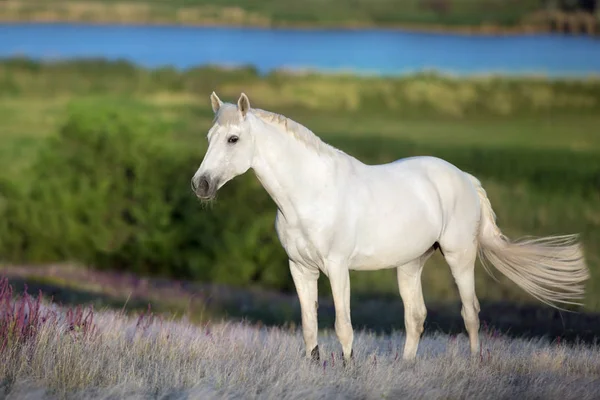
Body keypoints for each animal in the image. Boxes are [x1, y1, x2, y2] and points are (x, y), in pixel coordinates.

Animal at [192, 92, 592, 360]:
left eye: (233, 139)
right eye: (209, 138)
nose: (201, 184)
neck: (310, 193)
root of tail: (465, 178)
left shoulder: (337, 267)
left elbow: (343, 325)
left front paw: (348, 371)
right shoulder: (301, 269)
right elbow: (309, 326)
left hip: (459, 257)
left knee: (471, 313)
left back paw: (476, 363)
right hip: (410, 264)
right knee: (415, 317)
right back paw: (407, 366)